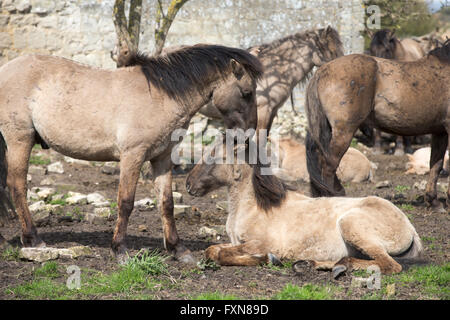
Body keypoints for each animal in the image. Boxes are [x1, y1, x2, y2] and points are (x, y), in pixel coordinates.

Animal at [0, 43, 264, 264]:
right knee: (17, 186)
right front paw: (120, 249)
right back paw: (33, 239)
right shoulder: (132, 156)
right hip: (20, 140)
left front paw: (178, 250)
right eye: (247, 92)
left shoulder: (162, 159)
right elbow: (125, 202)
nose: (249, 134)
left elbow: (166, 203)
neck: (160, 96)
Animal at [185, 141, 422, 276]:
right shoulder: (236, 242)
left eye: (216, 157)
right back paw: (311, 264)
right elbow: (212, 250)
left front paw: (268, 259)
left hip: (351, 225)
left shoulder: (262, 244)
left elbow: (221, 254)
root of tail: (410, 228)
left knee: (389, 265)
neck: (253, 207)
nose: (188, 184)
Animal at [306, 41, 450, 214]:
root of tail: (322, 70)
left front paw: (433, 202)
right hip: (343, 132)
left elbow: (435, 165)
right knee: (328, 166)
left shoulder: (440, 132)